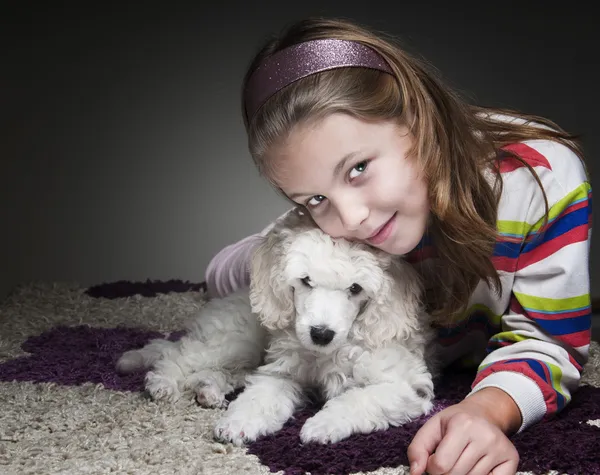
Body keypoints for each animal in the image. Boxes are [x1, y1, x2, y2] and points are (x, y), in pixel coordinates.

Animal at [116, 209, 436, 446]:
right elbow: (259, 398)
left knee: (219, 371)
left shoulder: (406, 386)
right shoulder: (280, 373)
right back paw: (162, 383)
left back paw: (209, 390)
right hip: (235, 339)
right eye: (306, 280)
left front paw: (322, 425)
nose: (321, 334)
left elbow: (359, 397)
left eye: (355, 289)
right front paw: (239, 422)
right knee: (178, 355)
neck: (325, 353)